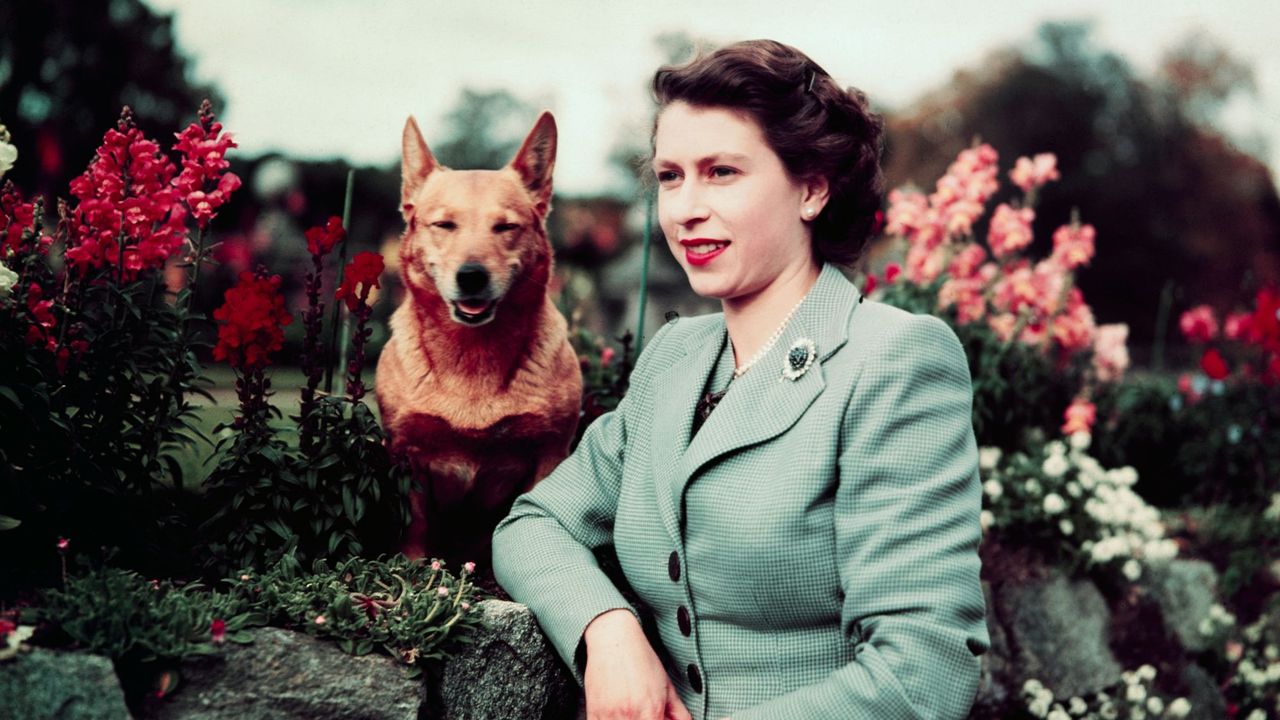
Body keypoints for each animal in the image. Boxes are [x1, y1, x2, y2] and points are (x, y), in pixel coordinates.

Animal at [373, 112, 586, 563]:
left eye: (505, 227)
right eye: (444, 225)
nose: (471, 276)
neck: (473, 356)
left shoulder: (549, 454)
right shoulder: (407, 453)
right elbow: (414, 527)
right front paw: (413, 570)